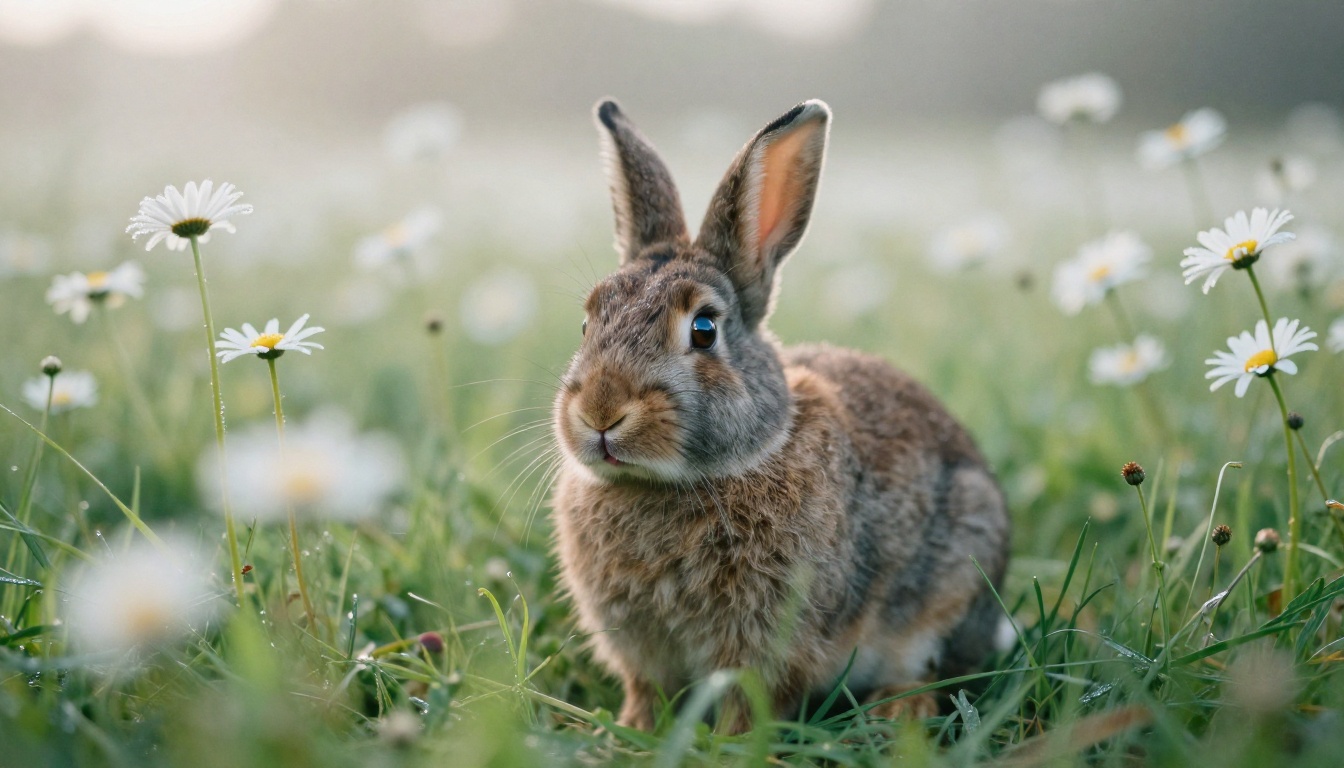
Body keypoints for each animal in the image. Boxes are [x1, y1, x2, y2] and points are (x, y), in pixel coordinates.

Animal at [551, 97, 1010, 732]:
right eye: (587, 323)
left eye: (704, 329)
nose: (600, 412)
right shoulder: (640, 649)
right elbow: (646, 691)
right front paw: (629, 730)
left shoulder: (769, 643)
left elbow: (749, 703)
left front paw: (729, 743)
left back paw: (902, 712)